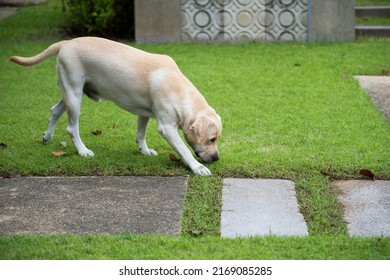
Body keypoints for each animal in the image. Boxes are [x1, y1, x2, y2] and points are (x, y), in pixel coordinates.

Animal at [8, 36, 222, 175]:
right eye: (212, 139)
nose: (216, 158)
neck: (180, 91)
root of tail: (66, 42)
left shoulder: (145, 113)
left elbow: (140, 134)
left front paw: (144, 151)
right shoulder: (167, 128)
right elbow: (184, 150)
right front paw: (197, 167)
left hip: (72, 93)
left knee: (54, 110)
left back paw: (47, 136)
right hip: (74, 95)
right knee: (71, 128)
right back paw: (82, 151)